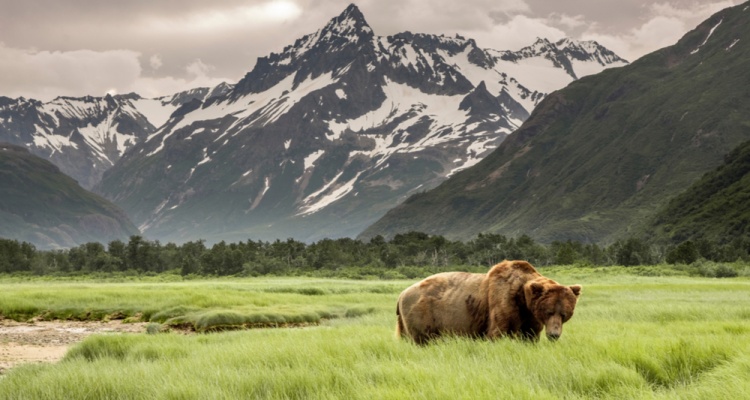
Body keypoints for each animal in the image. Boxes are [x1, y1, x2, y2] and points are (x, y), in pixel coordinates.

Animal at [400, 260, 580, 344]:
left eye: (564, 314)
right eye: (549, 311)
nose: (554, 335)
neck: (523, 299)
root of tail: (402, 294)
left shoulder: (529, 316)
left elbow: (530, 335)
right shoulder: (503, 301)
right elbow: (497, 332)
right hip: (424, 313)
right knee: (423, 339)